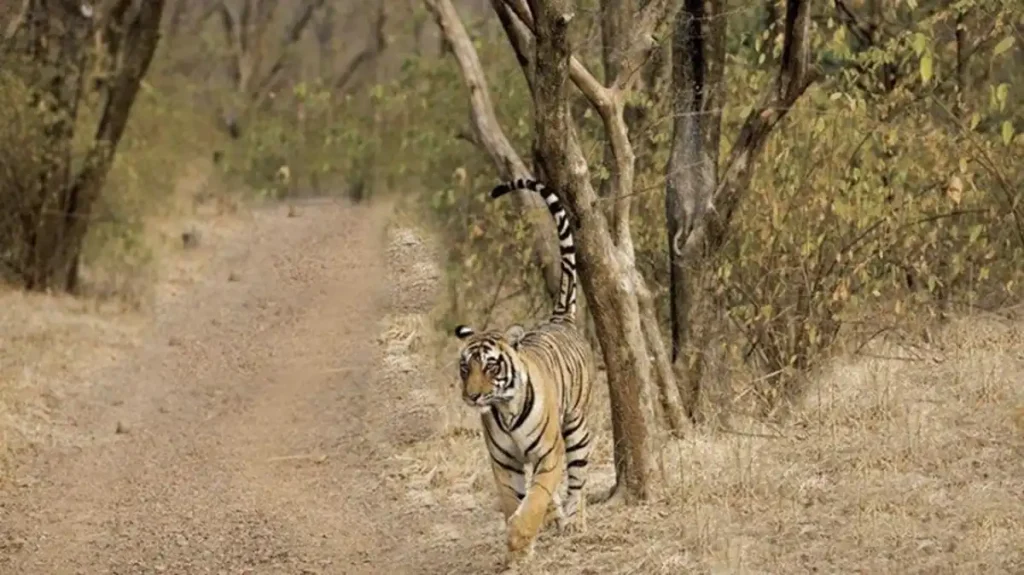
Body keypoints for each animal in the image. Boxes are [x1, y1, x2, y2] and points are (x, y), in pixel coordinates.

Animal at [454, 175, 598, 560]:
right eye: (464, 368)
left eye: (491, 367)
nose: (473, 397)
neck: (505, 410)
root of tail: (559, 319)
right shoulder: (503, 463)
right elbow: (512, 500)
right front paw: (519, 548)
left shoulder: (549, 453)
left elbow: (534, 498)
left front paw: (521, 538)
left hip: (576, 426)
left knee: (577, 480)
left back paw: (575, 520)